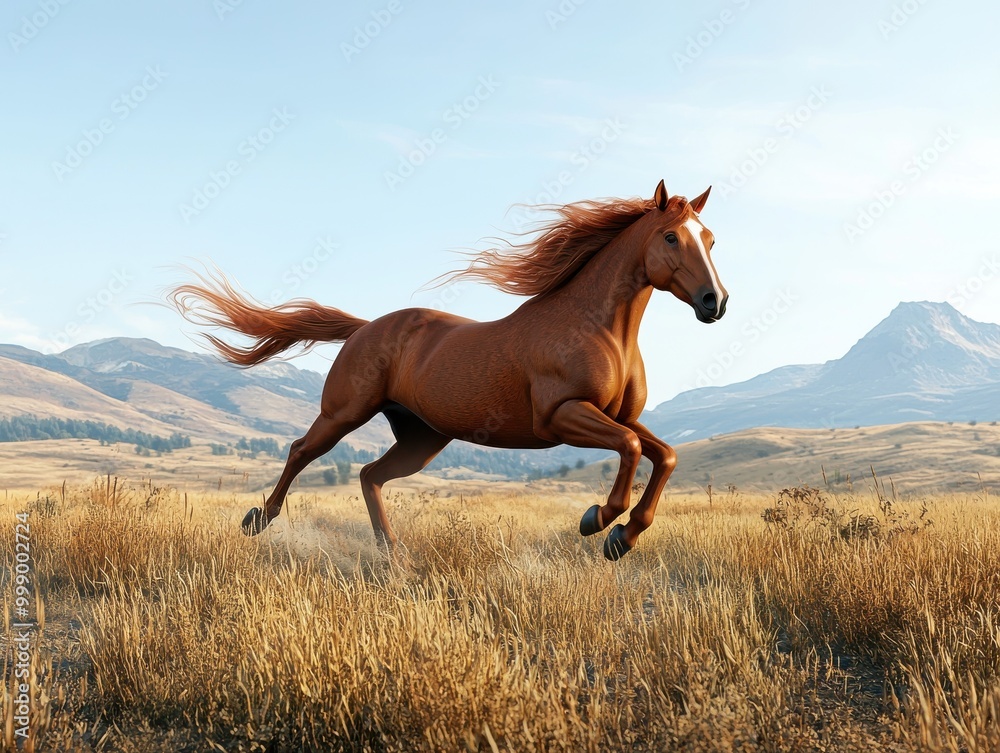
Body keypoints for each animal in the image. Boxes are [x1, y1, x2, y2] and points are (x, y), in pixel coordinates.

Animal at [170, 179, 727, 560]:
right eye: (672, 237)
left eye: (710, 239)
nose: (714, 302)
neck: (596, 328)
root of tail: (364, 328)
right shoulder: (561, 416)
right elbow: (632, 449)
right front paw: (599, 520)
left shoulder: (620, 416)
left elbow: (665, 455)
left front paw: (622, 538)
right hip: (344, 412)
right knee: (301, 451)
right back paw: (257, 520)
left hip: (421, 439)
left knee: (370, 474)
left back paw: (393, 555)